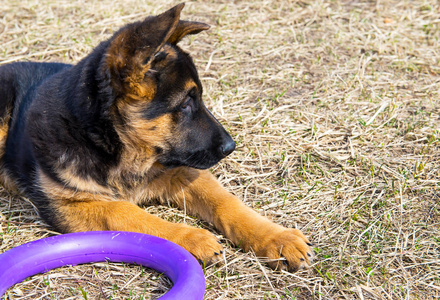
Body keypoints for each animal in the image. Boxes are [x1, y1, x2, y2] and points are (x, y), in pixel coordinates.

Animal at [0, 3, 312, 270]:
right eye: (185, 103)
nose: (230, 147)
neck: (121, 150)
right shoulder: (68, 206)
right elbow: (125, 212)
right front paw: (192, 238)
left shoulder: (184, 171)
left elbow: (226, 202)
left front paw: (277, 238)